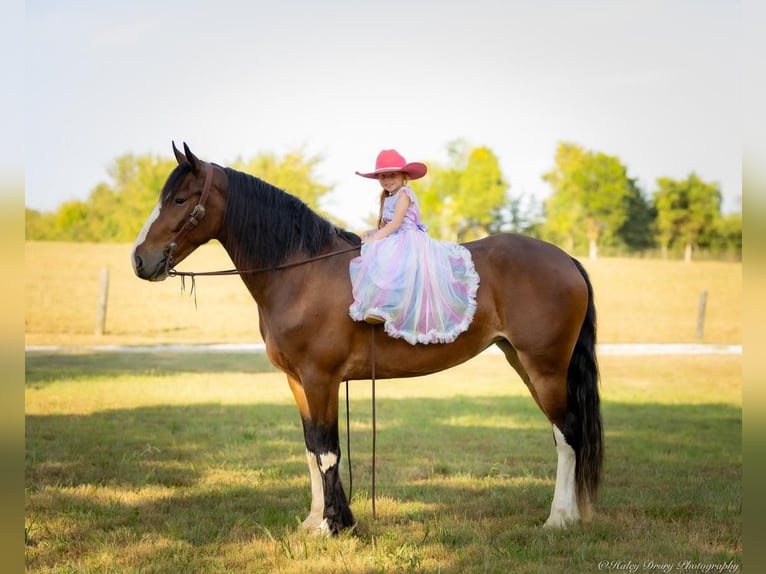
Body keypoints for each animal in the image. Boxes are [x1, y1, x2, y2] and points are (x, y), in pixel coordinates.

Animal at [132, 143, 604, 536]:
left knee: (568, 433)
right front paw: (314, 521)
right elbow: (310, 449)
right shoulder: (297, 382)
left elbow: (327, 451)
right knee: (563, 433)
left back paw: (559, 519)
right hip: (523, 362)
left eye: (179, 199)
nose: (139, 260)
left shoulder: (321, 379)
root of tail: (565, 258)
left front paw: (332, 526)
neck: (301, 271)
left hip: (544, 366)